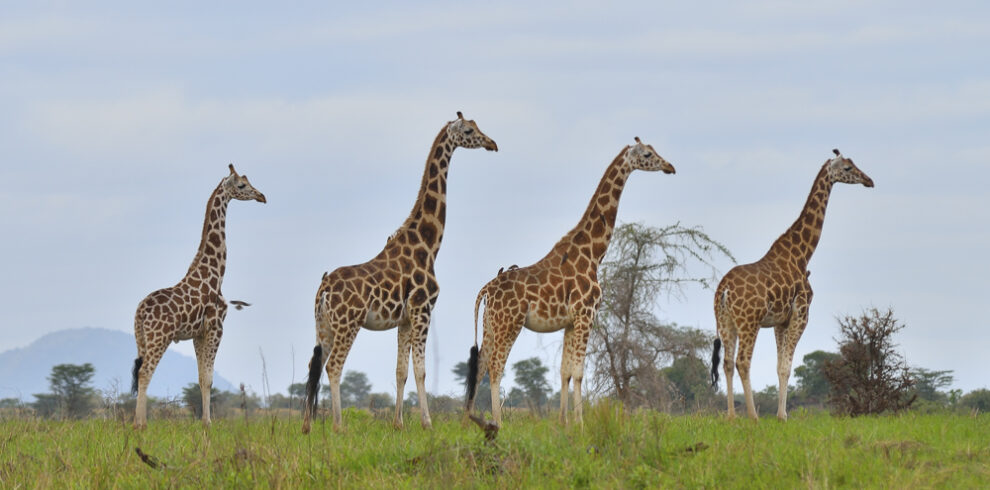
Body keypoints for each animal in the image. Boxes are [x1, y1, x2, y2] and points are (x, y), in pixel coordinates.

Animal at [130, 164, 266, 429]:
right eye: (242, 185)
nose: (262, 196)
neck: (216, 274)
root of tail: (140, 311)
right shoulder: (216, 327)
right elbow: (209, 377)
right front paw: (208, 423)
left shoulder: (197, 333)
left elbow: (201, 377)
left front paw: (205, 421)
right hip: (159, 337)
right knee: (145, 371)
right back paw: (141, 424)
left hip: (141, 338)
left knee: (140, 371)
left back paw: (136, 423)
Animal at [301, 112, 498, 434]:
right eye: (469, 131)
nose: (492, 143)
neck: (428, 246)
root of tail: (324, 288)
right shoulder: (422, 310)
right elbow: (421, 371)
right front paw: (427, 423)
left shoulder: (404, 320)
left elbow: (400, 371)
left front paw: (398, 424)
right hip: (348, 323)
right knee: (334, 366)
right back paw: (339, 426)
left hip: (323, 326)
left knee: (313, 366)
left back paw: (306, 426)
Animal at [465, 137, 676, 427]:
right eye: (647, 154)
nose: (670, 167)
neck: (593, 254)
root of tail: (485, 289)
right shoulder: (586, 314)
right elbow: (578, 372)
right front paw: (581, 424)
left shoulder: (569, 322)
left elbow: (564, 372)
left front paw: (564, 422)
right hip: (510, 322)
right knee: (496, 366)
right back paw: (498, 422)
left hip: (490, 324)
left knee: (482, 364)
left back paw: (470, 420)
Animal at [710, 149, 873, 421]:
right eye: (848, 168)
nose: (869, 180)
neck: (802, 254)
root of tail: (724, 290)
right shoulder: (801, 313)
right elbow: (787, 366)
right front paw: (782, 416)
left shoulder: (780, 321)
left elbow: (779, 366)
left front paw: (780, 413)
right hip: (749, 321)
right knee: (743, 361)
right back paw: (753, 417)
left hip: (725, 322)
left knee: (727, 362)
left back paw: (732, 417)